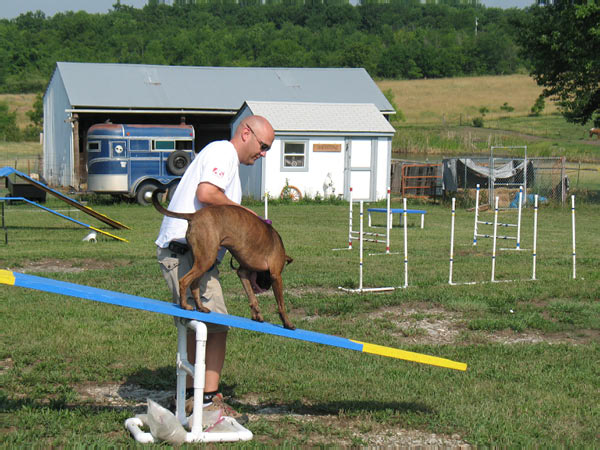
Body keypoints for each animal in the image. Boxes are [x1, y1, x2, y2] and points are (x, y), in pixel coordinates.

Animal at [151, 188, 294, 328]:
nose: (266, 287)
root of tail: (194, 215)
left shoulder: (242, 273)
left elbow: (252, 298)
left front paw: (256, 315)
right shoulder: (276, 275)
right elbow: (281, 304)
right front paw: (287, 322)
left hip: (202, 262)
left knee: (194, 286)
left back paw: (201, 307)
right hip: (206, 260)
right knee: (183, 281)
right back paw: (185, 305)